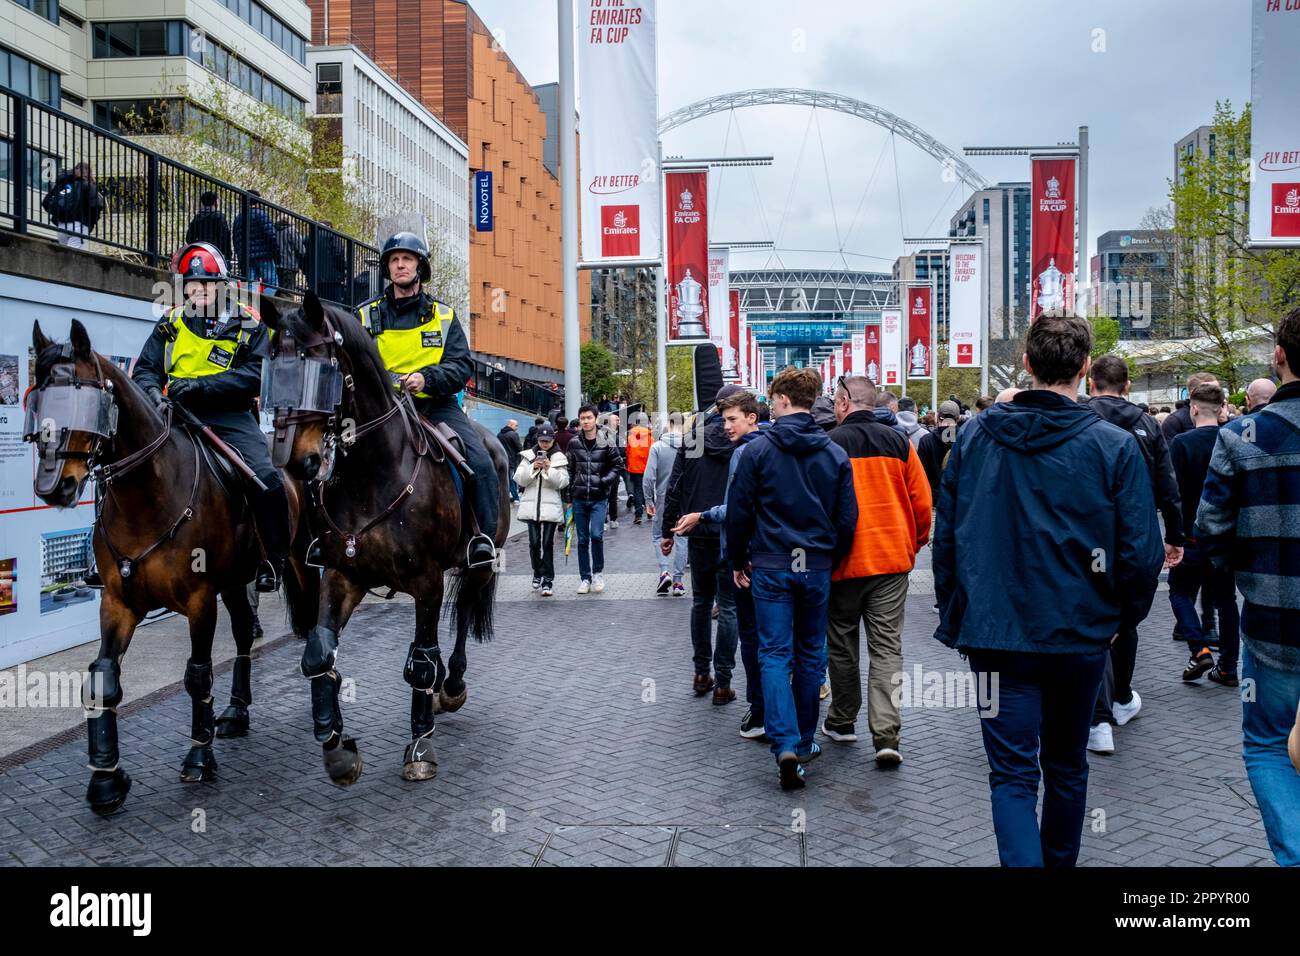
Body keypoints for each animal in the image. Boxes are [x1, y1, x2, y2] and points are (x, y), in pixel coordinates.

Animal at [26, 317, 310, 811]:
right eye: (39, 399)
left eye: (86, 402)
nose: (54, 487)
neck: (149, 496)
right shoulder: (118, 602)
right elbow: (103, 678)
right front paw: (106, 779)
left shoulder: (199, 601)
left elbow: (197, 674)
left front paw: (199, 758)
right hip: (235, 582)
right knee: (243, 634)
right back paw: (236, 710)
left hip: (294, 563)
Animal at [261, 295, 509, 790]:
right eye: (272, 367)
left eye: (322, 371)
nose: (295, 460)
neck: (371, 475)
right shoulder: (341, 575)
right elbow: (318, 653)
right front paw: (337, 748)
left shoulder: (427, 581)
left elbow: (420, 661)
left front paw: (420, 748)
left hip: (477, 564)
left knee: (463, 615)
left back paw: (452, 687)